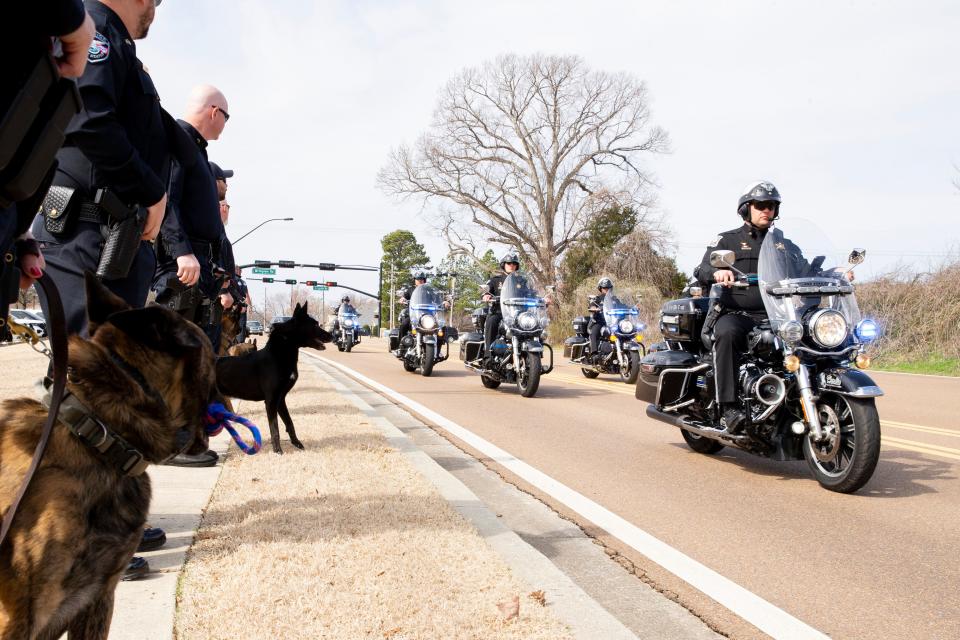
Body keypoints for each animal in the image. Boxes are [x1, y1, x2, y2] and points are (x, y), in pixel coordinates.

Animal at [216, 302, 332, 452]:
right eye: (315, 325)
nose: (332, 336)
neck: (279, 356)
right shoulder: (271, 401)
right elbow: (274, 428)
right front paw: (277, 450)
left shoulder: (280, 399)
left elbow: (289, 422)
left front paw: (296, 443)